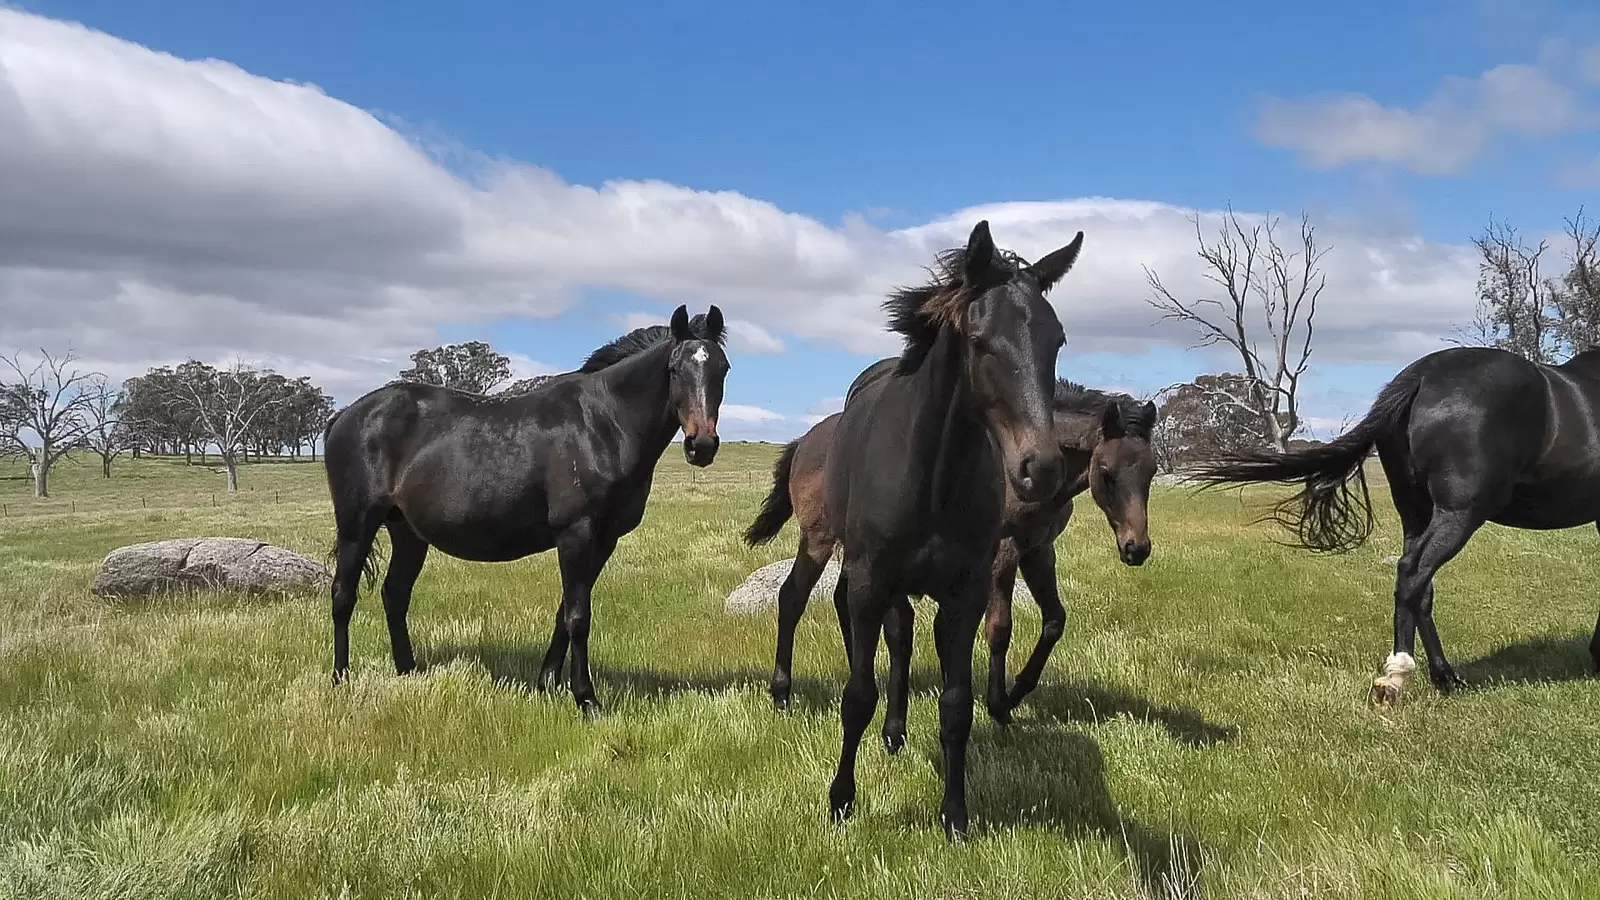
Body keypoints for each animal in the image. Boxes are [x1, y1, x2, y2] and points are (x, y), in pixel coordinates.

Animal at [320, 305, 732, 714]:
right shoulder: (576, 533)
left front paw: (546, 682)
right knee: (343, 596)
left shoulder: (604, 539)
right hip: (357, 524)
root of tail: (345, 415)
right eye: (674, 369)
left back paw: (409, 671)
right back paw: (341, 678)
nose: (702, 445)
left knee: (395, 594)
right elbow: (578, 617)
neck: (603, 424)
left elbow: (565, 613)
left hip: (408, 532)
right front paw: (586, 698)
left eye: (723, 368)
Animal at [742, 374, 1158, 746]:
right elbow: (999, 628)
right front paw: (998, 705)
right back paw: (782, 693)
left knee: (844, 602)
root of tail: (806, 440)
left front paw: (1017, 690)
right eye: (1106, 473)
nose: (1137, 548)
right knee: (792, 597)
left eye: (1152, 471)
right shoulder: (1001, 553)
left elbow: (1055, 620)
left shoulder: (1039, 551)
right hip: (818, 539)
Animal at [1190, 347, 1600, 704]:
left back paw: (1443, 676)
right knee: (1413, 574)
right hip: (1459, 513)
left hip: (1417, 512)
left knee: (1420, 587)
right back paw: (1398, 676)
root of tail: (1422, 376)